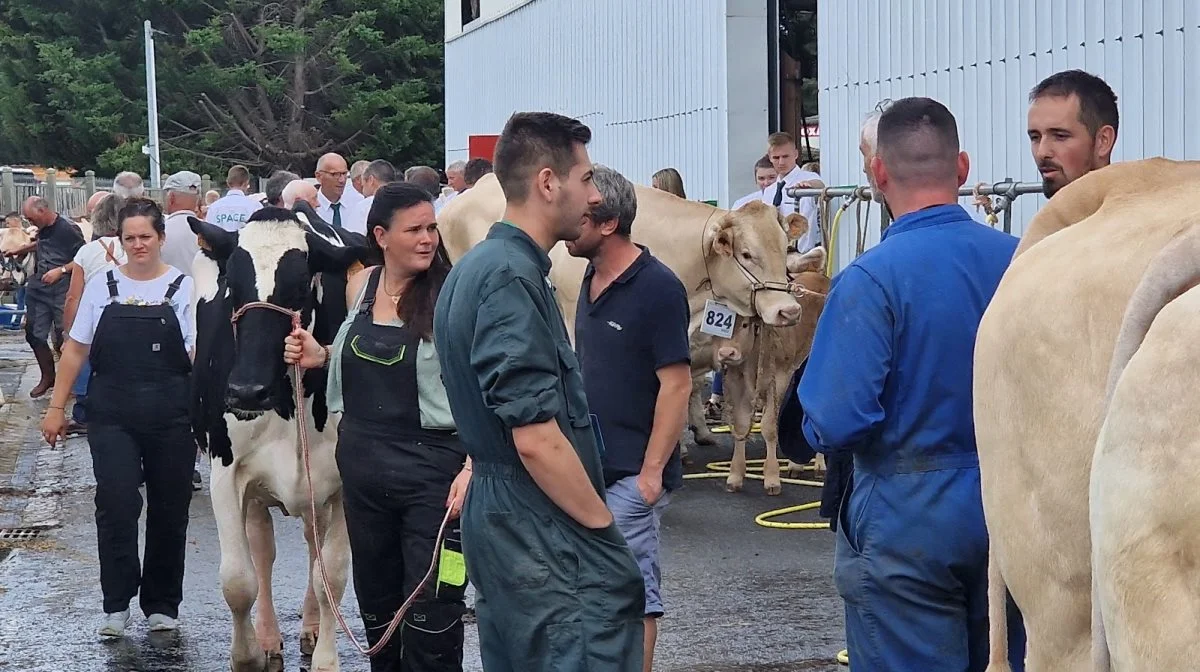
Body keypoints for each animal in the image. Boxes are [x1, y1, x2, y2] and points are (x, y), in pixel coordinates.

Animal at [187, 205, 369, 672]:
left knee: (310, 548)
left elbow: (331, 577)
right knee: (263, 551)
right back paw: (268, 636)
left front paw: (326, 659)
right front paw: (248, 655)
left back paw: (308, 627)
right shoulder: (225, 472)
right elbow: (238, 579)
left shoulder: (345, 481)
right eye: (231, 287)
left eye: (301, 285)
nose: (246, 391)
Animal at [705, 247, 830, 494]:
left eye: (745, 323)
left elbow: (770, 426)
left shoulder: (779, 376)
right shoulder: (735, 379)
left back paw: (819, 464)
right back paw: (796, 464)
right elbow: (741, 424)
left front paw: (772, 477)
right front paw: (735, 474)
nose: (726, 353)